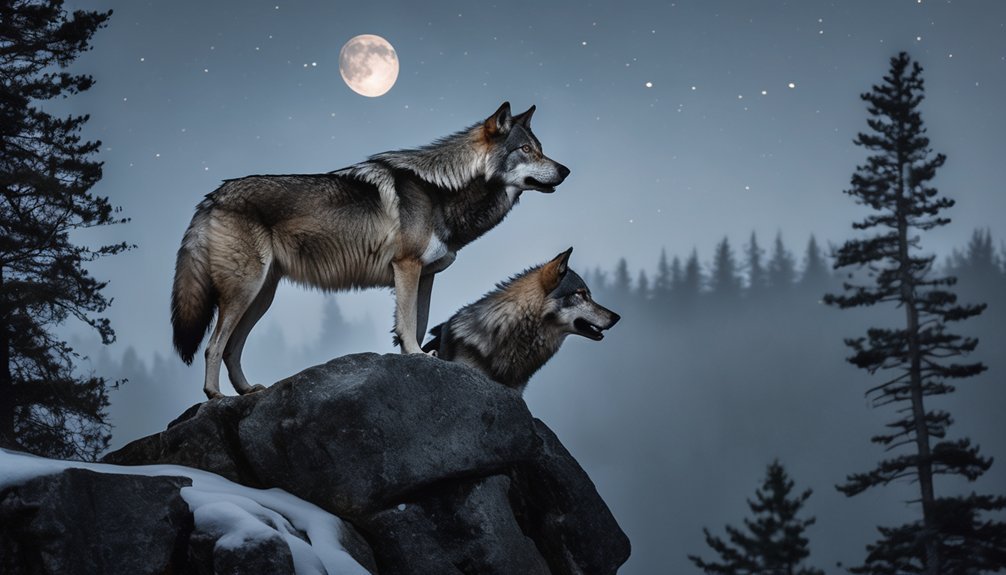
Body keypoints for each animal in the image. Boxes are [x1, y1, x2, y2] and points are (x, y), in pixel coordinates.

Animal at [171, 102, 570, 399]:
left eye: (541, 149)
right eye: (526, 150)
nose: (565, 170)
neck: (442, 191)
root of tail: (213, 196)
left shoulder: (425, 276)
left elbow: (419, 322)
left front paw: (417, 357)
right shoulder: (406, 267)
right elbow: (408, 323)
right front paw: (415, 355)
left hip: (261, 297)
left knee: (232, 348)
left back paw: (246, 391)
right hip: (245, 291)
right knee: (213, 346)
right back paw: (215, 396)